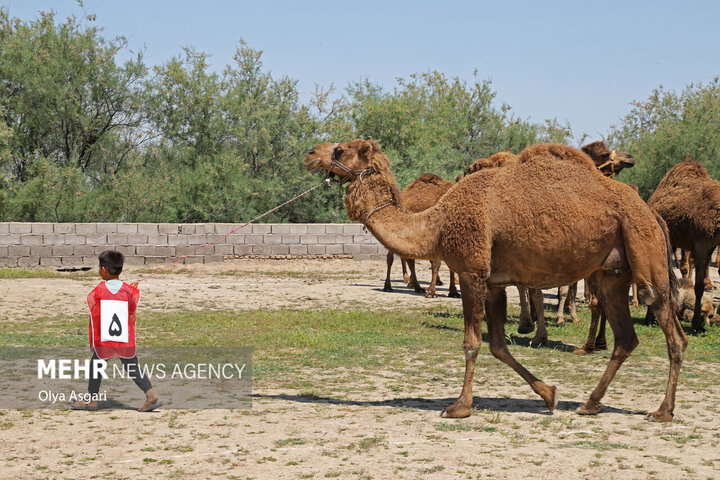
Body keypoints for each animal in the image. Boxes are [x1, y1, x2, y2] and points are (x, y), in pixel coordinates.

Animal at [304, 138, 688, 420]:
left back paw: (662, 411)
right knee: (626, 337)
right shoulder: (493, 283)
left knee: (671, 330)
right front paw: (548, 394)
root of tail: (650, 211)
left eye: (340, 149)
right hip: (612, 273)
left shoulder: (472, 272)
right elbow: (498, 345)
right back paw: (590, 403)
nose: (310, 154)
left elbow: (472, 342)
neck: (437, 222)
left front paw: (459, 407)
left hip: (644, 251)